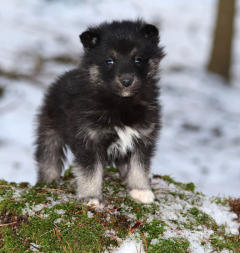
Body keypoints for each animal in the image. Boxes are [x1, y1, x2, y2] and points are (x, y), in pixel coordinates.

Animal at [34, 20, 164, 208]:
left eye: (138, 59)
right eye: (109, 60)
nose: (126, 81)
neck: (120, 103)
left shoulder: (143, 137)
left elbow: (139, 166)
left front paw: (141, 190)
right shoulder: (89, 139)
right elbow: (91, 171)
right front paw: (91, 198)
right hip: (50, 130)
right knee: (49, 157)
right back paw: (47, 183)